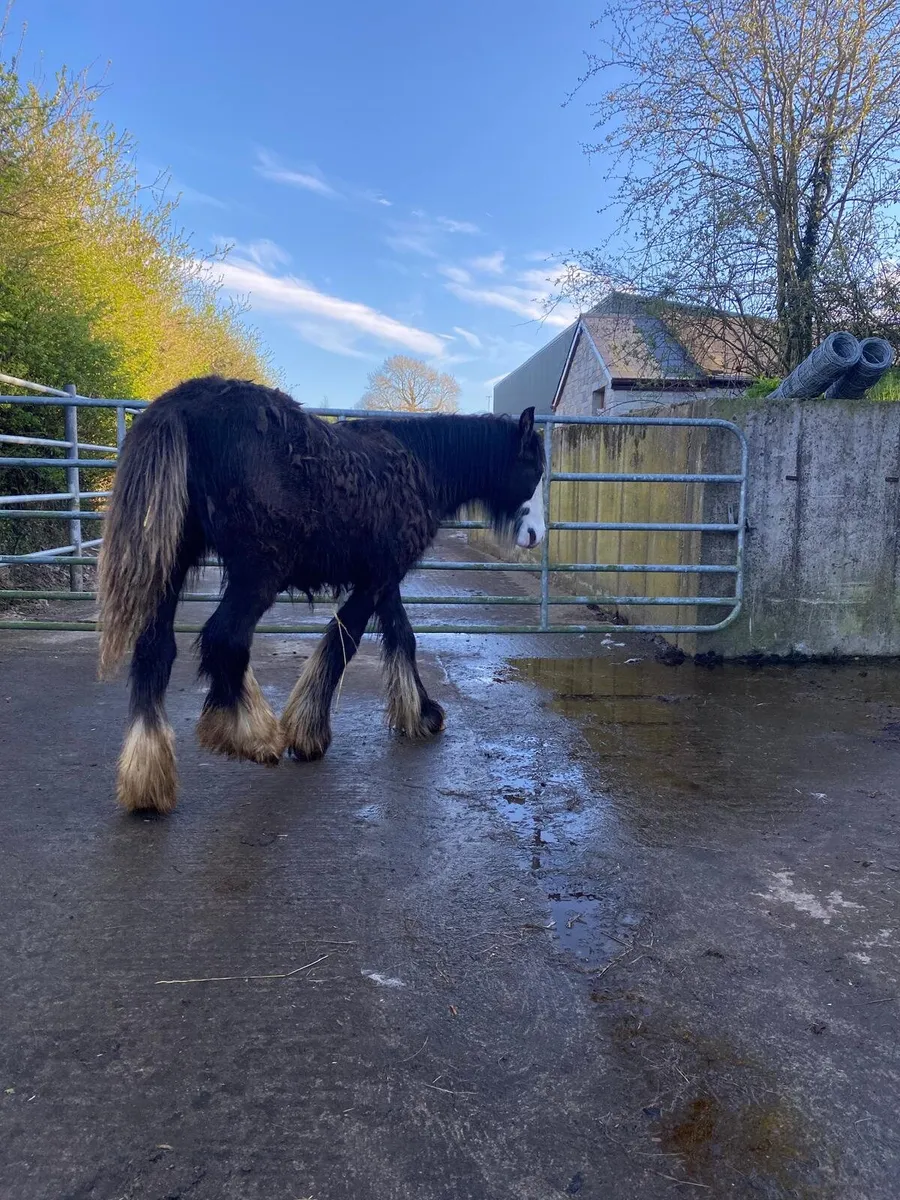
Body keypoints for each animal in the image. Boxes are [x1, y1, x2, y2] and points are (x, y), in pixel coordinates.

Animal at [97, 376, 546, 815]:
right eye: (534, 468)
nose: (536, 536)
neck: (420, 466)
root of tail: (184, 404)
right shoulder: (376, 580)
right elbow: (343, 642)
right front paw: (308, 733)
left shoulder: (384, 579)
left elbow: (402, 637)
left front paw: (421, 713)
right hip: (257, 573)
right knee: (225, 639)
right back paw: (256, 736)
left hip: (171, 565)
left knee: (155, 650)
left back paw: (147, 780)